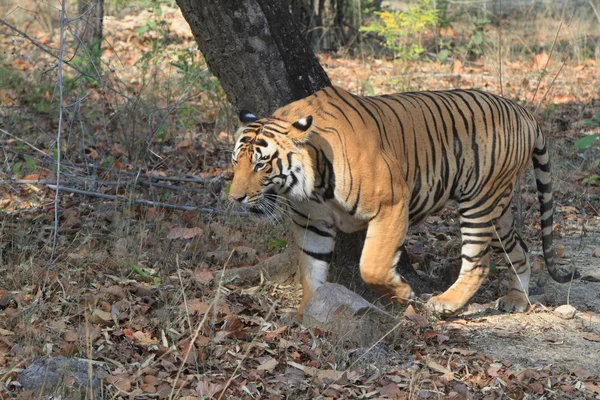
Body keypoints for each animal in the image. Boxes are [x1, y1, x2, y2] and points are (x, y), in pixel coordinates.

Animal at [226, 85, 576, 318]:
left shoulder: (391, 204)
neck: (313, 184)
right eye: (235, 162)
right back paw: (517, 299)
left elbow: (373, 265)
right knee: (520, 248)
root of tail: (522, 110)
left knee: (478, 261)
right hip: (499, 207)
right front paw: (305, 312)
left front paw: (404, 292)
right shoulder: (312, 221)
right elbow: (310, 269)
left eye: (261, 164)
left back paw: (446, 302)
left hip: (480, 201)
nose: (235, 198)